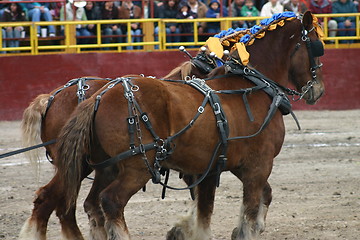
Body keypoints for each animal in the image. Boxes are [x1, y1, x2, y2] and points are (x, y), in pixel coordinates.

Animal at [54, 11, 326, 240]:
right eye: (316, 46)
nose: (319, 90)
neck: (250, 85)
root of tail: (99, 96)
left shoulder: (218, 166)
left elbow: (217, 208)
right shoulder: (258, 164)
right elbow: (248, 208)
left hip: (107, 166)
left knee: (92, 204)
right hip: (137, 167)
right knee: (111, 201)